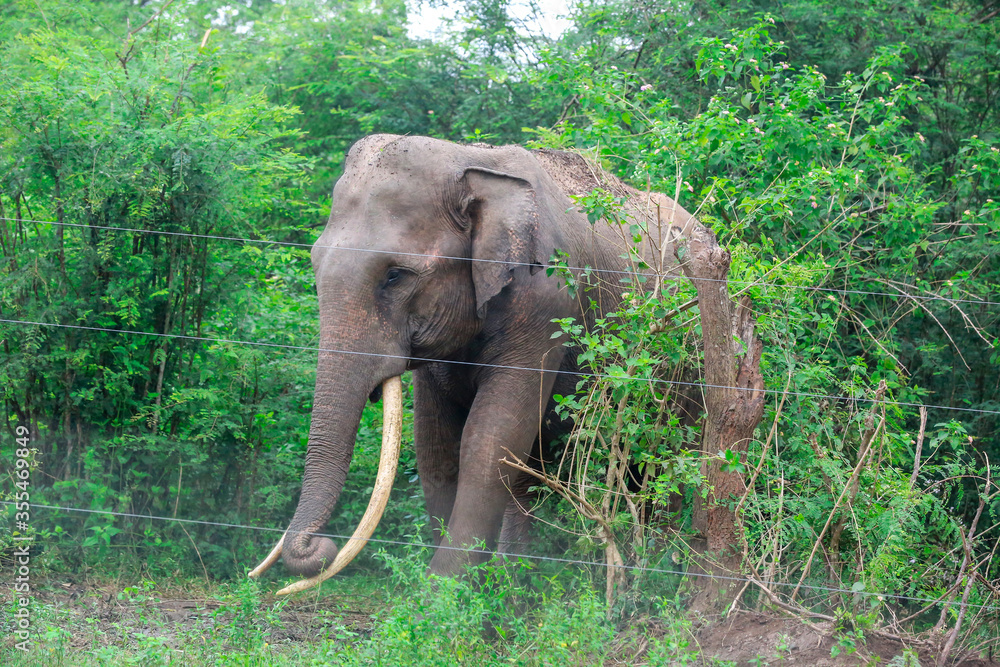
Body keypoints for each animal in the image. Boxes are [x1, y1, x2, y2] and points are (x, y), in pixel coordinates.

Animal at [250, 134, 701, 594]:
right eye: (314, 262)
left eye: (395, 275)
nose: (316, 547)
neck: (468, 161)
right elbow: (435, 443)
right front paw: (463, 594)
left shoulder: (547, 301)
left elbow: (491, 437)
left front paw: (440, 594)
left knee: (670, 462)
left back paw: (659, 577)